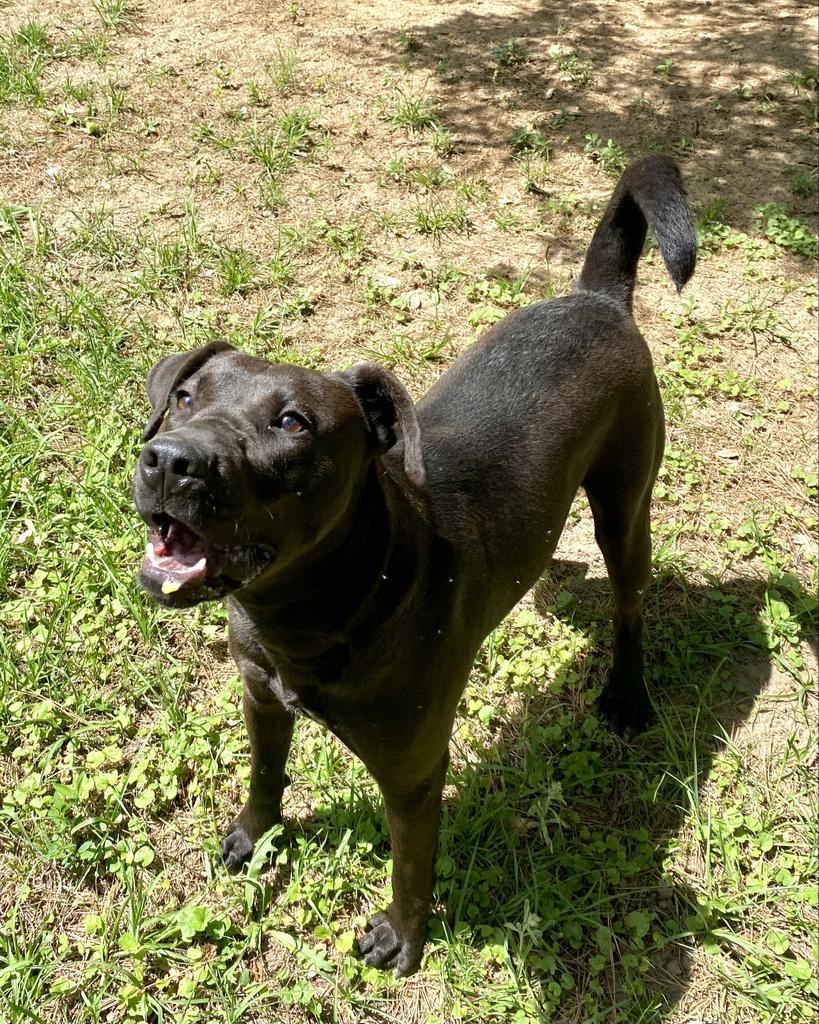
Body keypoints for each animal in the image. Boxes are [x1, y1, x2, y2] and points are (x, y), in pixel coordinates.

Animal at [134, 157, 696, 974]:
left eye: (291, 423)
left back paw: (625, 697)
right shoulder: (261, 700)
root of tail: (596, 297)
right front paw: (253, 835)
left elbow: (410, 863)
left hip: (623, 509)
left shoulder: (411, 771)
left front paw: (400, 936)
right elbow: (266, 773)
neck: (315, 610)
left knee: (629, 605)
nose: (168, 461)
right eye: (182, 397)